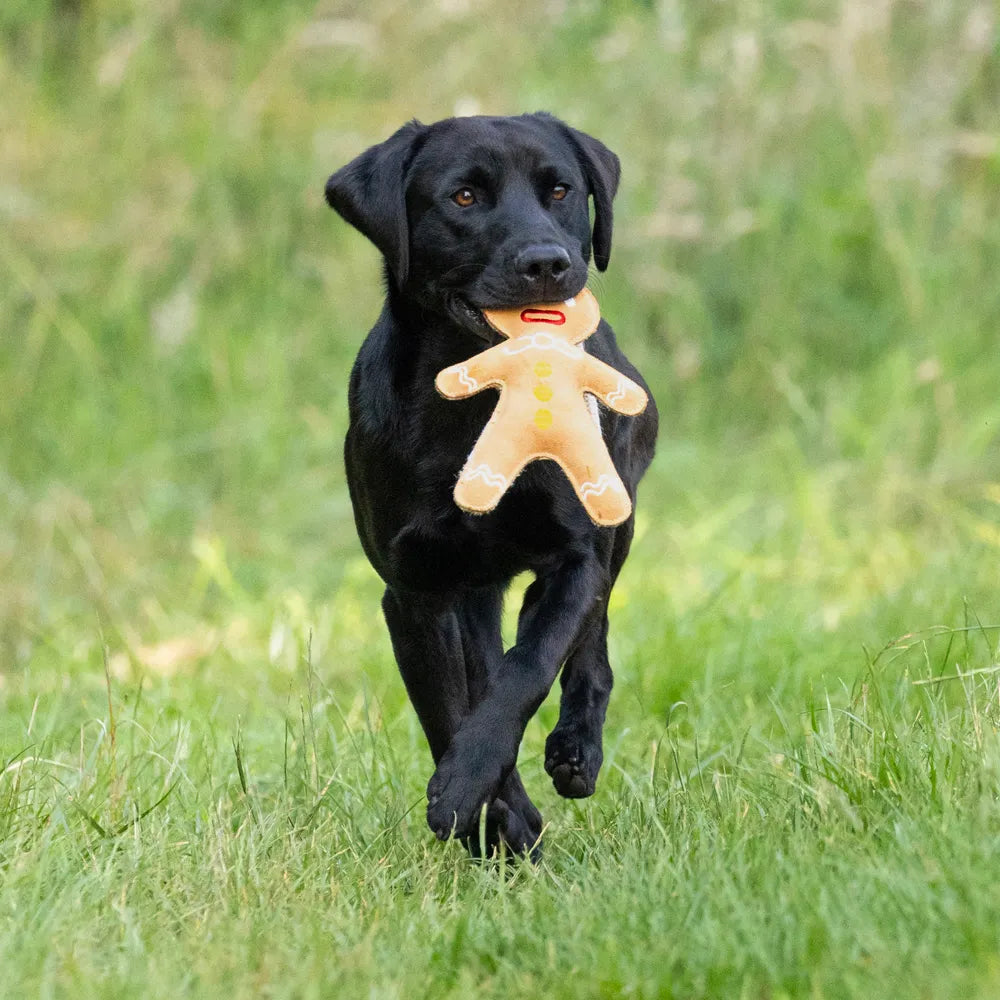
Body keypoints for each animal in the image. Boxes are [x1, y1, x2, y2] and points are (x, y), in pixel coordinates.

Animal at [324, 113, 660, 856]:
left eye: (560, 191)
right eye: (464, 197)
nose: (547, 263)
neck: (476, 405)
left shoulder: (573, 558)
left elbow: (528, 667)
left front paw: (473, 790)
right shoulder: (415, 592)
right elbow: (450, 707)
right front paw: (493, 817)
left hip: (617, 510)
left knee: (591, 641)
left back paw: (576, 749)